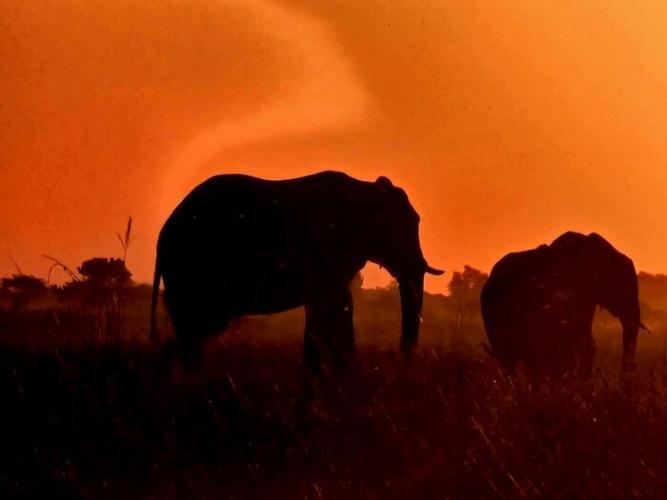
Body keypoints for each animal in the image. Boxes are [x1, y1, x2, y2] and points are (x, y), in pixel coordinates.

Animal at [151, 170, 444, 370]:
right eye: (405, 226)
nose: (399, 356)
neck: (365, 190)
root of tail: (161, 239)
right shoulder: (327, 248)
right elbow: (337, 304)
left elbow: (328, 306)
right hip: (193, 269)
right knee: (196, 328)